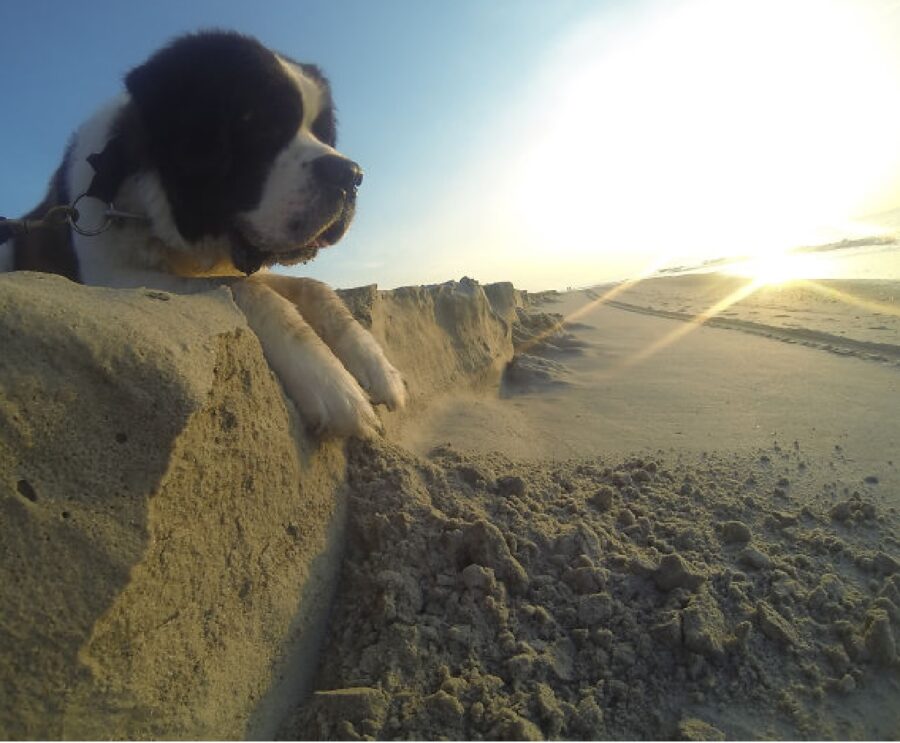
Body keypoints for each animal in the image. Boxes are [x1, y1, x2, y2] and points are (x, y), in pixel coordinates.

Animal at [0, 30, 406, 436]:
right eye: (263, 124)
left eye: (322, 134)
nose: (350, 175)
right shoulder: (108, 277)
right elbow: (245, 288)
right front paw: (330, 382)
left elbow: (313, 287)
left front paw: (377, 368)